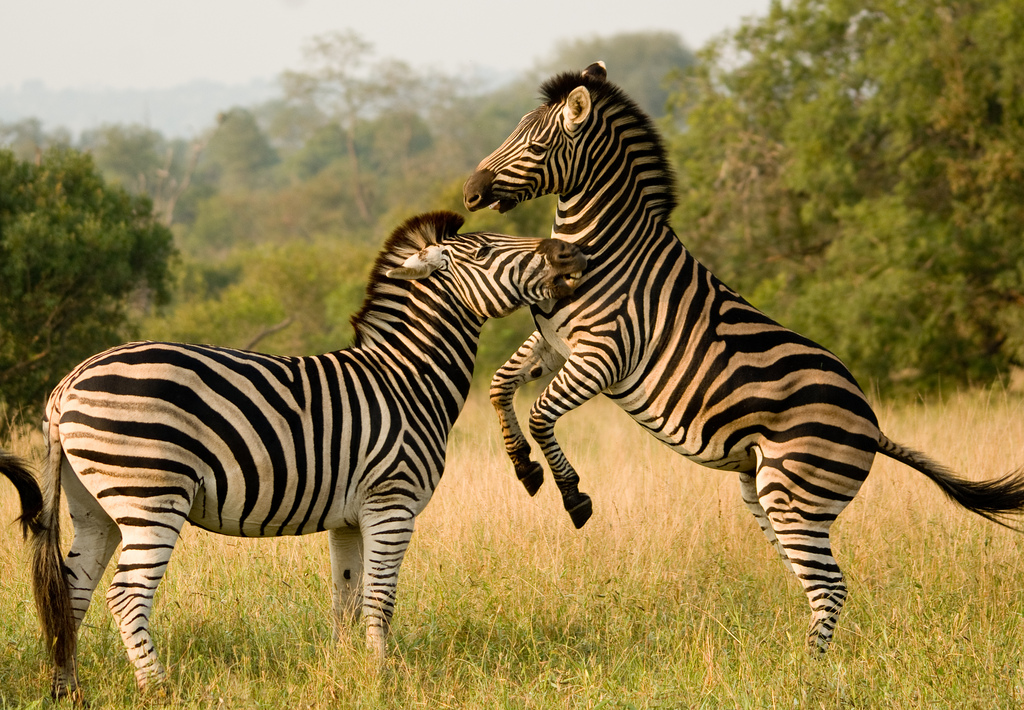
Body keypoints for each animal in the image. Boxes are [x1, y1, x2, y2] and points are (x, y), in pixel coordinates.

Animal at [0, 210, 586, 698]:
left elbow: (347, 599)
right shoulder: (392, 503)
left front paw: (348, 670)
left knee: (70, 592)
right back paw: (158, 690)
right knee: (125, 595)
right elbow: (381, 596)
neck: (407, 379)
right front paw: (382, 677)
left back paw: (67, 690)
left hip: (94, 506)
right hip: (150, 494)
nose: (571, 254)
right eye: (485, 251)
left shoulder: (349, 517)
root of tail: (66, 386)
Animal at [462, 62, 1024, 654]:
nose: (470, 191)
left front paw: (573, 496)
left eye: (537, 144)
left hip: (793, 492)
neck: (602, 249)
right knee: (815, 582)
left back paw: (807, 670)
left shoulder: (605, 354)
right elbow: (500, 386)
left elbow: (540, 413)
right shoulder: (554, 341)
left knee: (830, 586)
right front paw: (523, 467)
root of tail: (873, 425)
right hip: (768, 491)